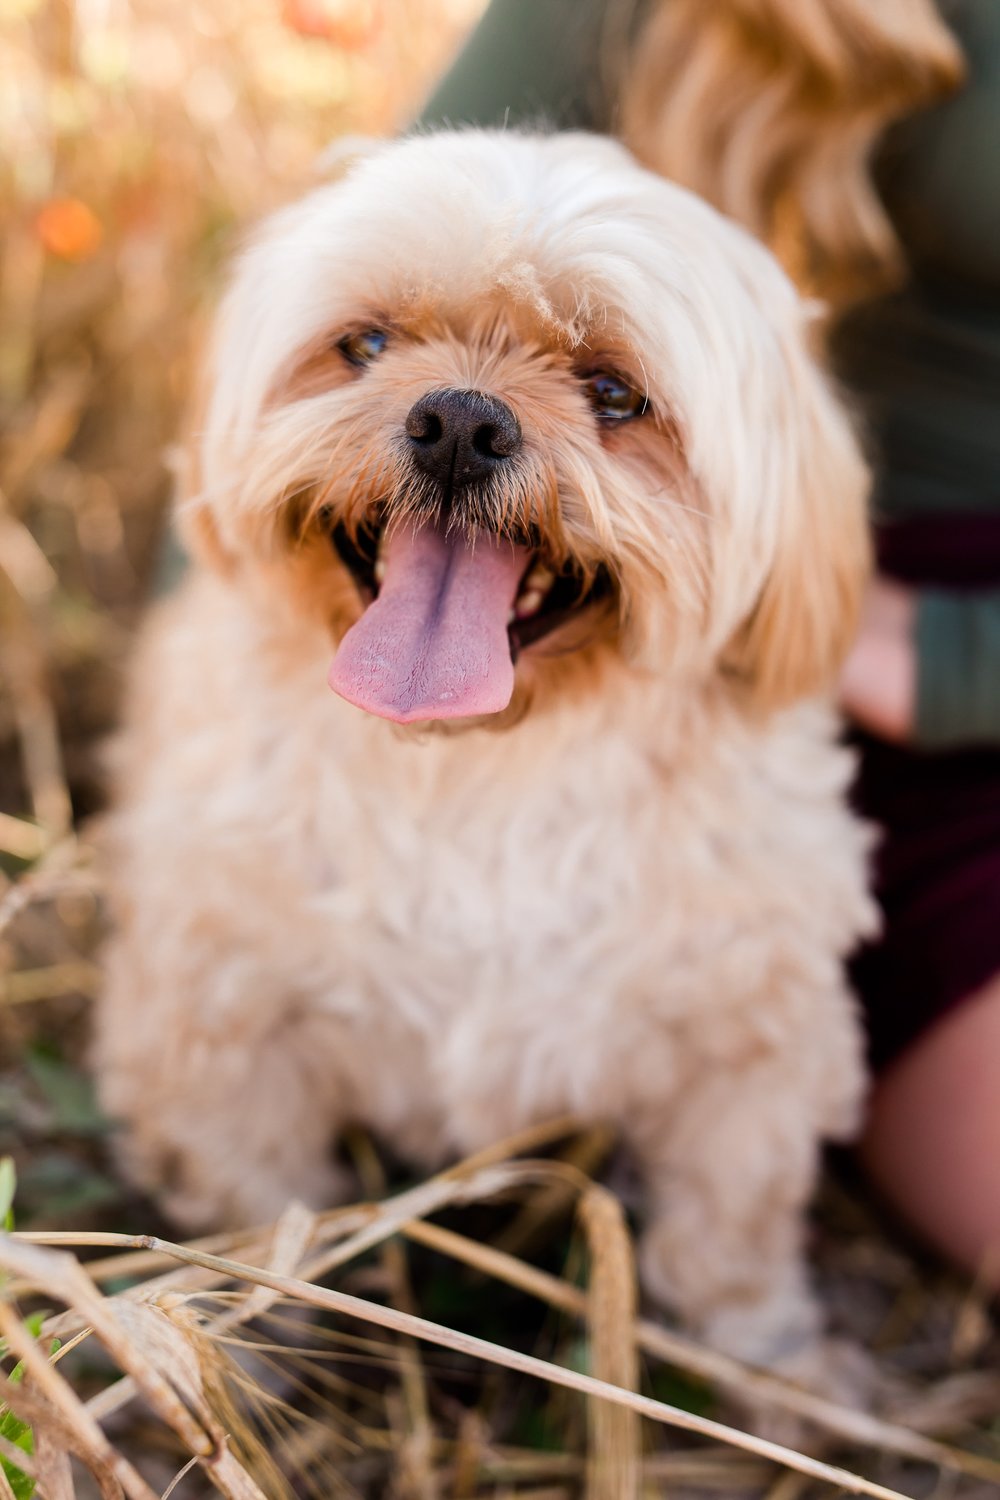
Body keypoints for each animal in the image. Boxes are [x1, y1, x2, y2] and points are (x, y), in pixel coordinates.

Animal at [93, 129, 875, 1374]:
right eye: (364, 345)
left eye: (613, 392)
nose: (459, 420)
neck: (472, 770)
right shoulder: (215, 1025)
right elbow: (252, 1209)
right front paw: (235, 1353)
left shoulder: (750, 1049)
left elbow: (733, 1226)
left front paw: (762, 1361)